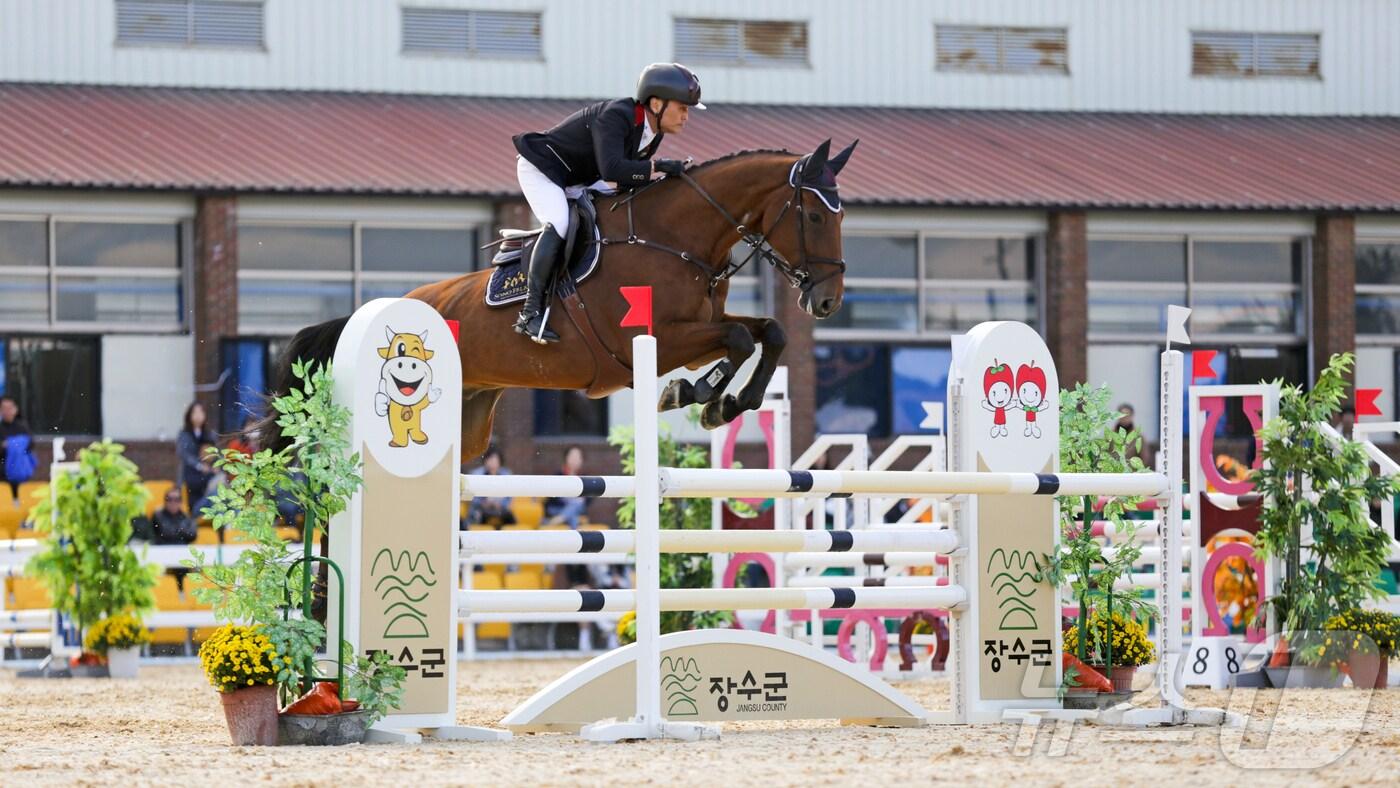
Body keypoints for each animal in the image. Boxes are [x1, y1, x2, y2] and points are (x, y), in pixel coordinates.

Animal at [263, 137, 851, 459]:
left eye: (841, 214)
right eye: (815, 215)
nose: (827, 302)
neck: (676, 237)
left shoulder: (697, 331)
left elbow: (766, 332)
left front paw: (727, 404)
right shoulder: (654, 342)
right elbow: (736, 339)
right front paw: (690, 396)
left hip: (468, 418)